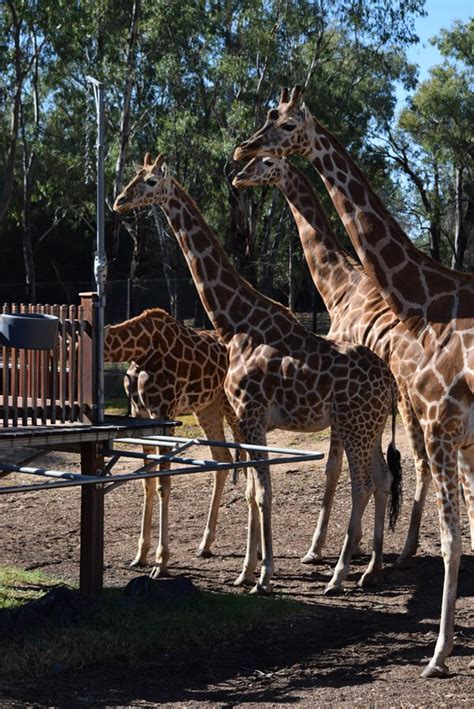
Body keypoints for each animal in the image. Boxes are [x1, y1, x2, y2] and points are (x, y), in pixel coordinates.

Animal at [105, 308, 243, 576]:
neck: (141, 350)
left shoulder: (164, 411)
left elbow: (163, 484)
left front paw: (161, 562)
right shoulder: (140, 413)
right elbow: (147, 481)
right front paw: (140, 555)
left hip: (234, 406)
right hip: (208, 407)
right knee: (223, 459)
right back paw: (204, 545)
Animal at [234, 88, 474, 676]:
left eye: (285, 125)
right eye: (266, 119)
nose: (240, 156)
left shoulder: (421, 416)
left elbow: (342, 473)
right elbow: (351, 472)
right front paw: (346, 555)